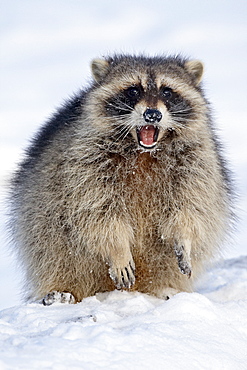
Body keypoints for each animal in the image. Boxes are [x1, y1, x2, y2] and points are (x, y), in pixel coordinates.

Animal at [10, 54, 233, 304]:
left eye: (167, 91)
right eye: (133, 90)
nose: (152, 115)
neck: (144, 151)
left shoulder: (197, 165)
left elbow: (191, 207)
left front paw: (183, 238)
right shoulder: (83, 164)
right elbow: (97, 213)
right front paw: (117, 250)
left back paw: (164, 288)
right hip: (42, 223)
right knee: (54, 252)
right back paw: (61, 290)